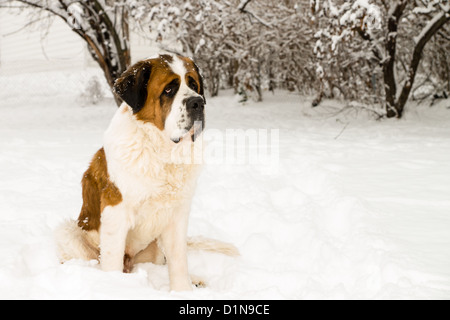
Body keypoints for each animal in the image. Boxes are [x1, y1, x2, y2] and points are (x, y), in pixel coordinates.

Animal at [55, 53, 239, 292]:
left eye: (193, 85)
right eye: (169, 89)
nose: (198, 102)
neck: (162, 151)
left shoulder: (177, 216)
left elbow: (179, 260)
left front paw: (183, 291)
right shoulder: (115, 211)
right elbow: (112, 260)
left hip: (154, 249)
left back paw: (195, 280)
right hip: (69, 232)